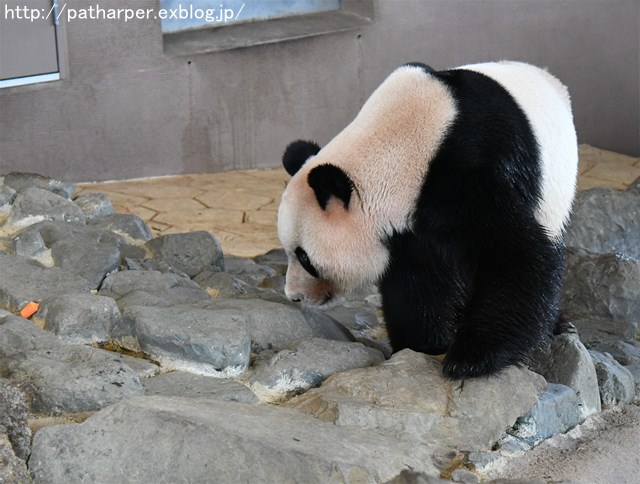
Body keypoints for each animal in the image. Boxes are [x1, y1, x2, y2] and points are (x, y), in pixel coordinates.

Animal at [278, 59, 576, 378]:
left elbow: (516, 254)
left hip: (554, 198)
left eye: (305, 257)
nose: (294, 296)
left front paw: (470, 359)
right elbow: (418, 282)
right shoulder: (407, 227)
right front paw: (422, 345)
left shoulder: (468, 172)